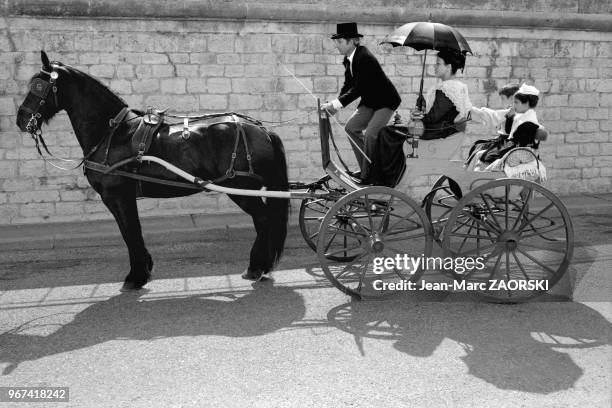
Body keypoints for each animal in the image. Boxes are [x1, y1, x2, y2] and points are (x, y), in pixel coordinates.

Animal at [15, 51, 290, 292]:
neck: (113, 133)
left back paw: (257, 267)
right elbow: (131, 232)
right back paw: (260, 267)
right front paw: (143, 271)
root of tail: (262, 129)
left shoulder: (118, 196)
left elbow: (130, 232)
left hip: (240, 189)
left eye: (38, 86)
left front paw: (136, 276)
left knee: (263, 219)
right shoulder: (120, 197)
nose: (21, 119)